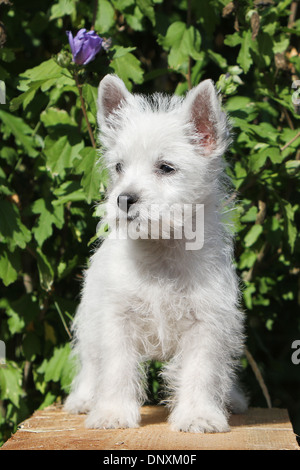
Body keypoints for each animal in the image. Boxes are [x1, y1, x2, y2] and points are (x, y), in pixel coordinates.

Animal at [64, 74, 247, 434]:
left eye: (165, 167)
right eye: (119, 167)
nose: (123, 198)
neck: (160, 248)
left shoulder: (207, 322)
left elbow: (201, 372)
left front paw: (198, 415)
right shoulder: (116, 319)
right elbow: (116, 369)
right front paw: (112, 413)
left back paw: (231, 399)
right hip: (90, 318)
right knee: (91, 363)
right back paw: (84, 399)